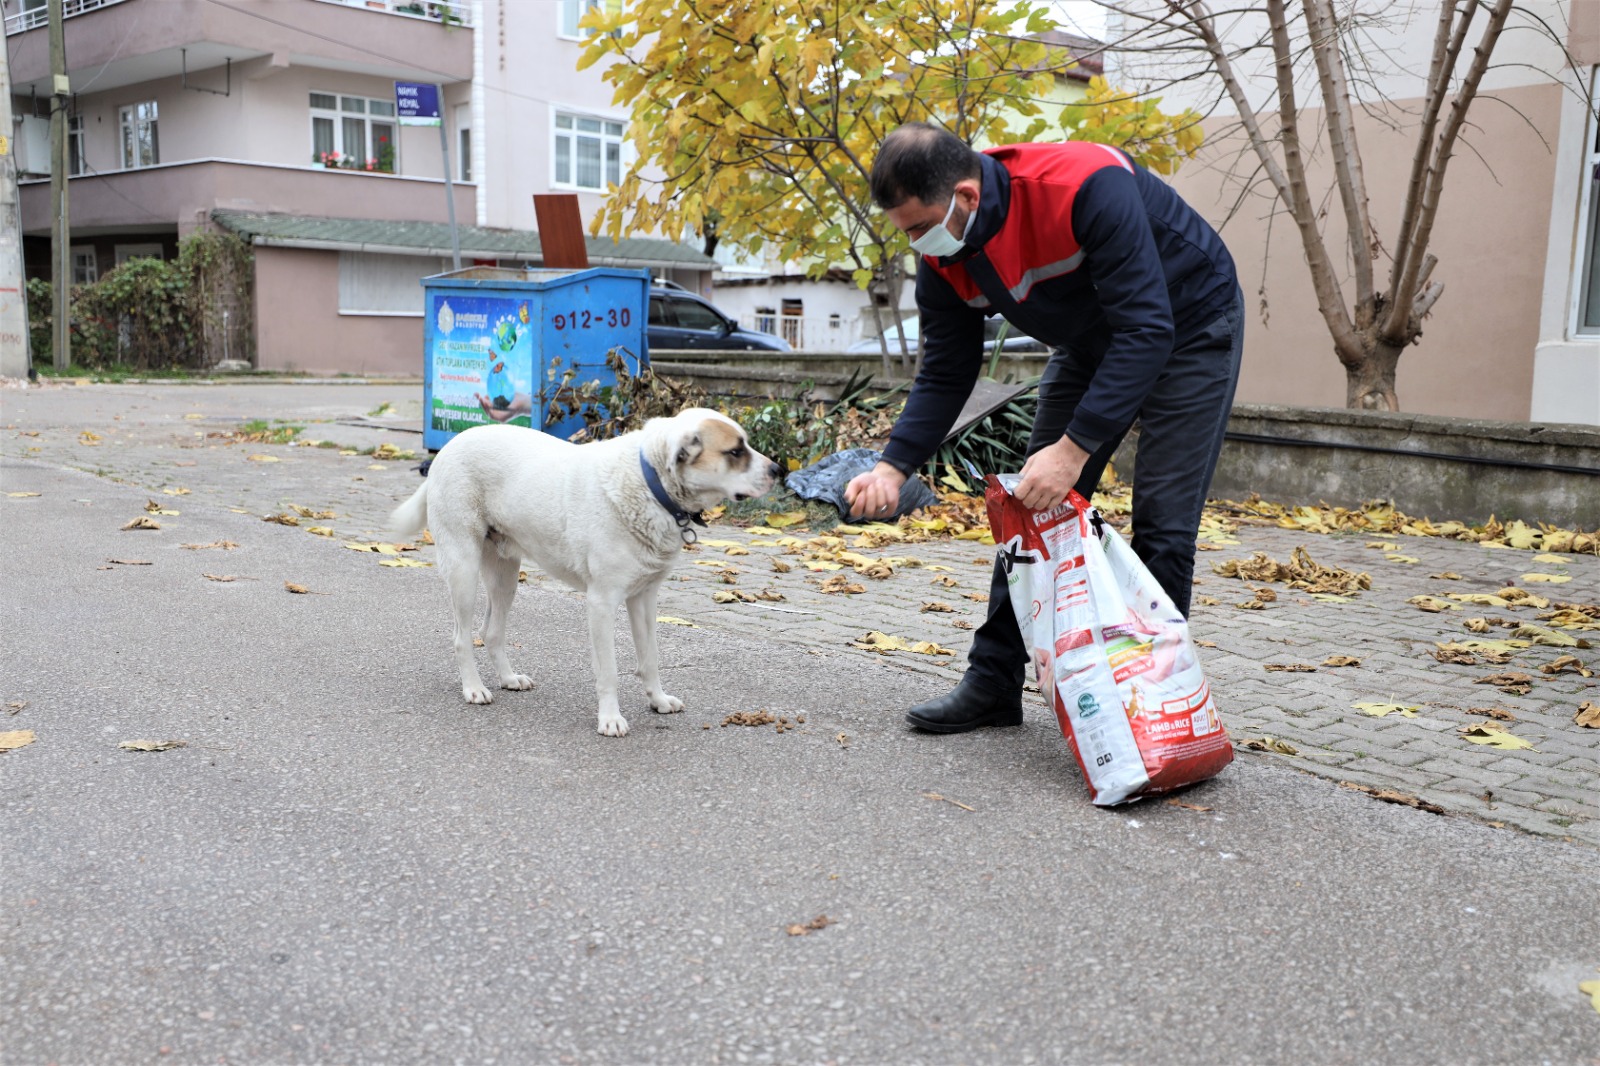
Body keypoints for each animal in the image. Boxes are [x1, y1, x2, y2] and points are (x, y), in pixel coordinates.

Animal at [393, 406, 780, 729]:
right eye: (735, 451)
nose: (778, 470)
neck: (649, 483)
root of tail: (449, 446)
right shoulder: (601, 603)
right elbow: (609, 671)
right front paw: (610, 719)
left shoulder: (644, 599)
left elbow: (650, 658)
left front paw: (657, 700)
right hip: (463, 568)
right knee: (461, 637)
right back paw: (473, 688)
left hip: (505, 575)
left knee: (491, 632)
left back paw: (508, 679)